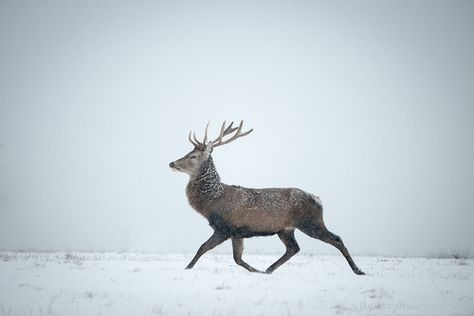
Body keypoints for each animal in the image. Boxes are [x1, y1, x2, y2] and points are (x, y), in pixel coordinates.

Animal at [168, 121, 364, 274]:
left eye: (193, 156)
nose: (172, 163)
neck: (212, 202)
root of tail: (318, 200)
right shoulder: (237, 231)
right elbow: (237, 258)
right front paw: (257, 271)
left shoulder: (225, 227)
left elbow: (204, 248)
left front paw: (187, 268)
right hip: (286, 229)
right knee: (294, 248)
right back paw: (269, 269)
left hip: (311, 222)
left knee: (336, 239)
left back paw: (358, 270)